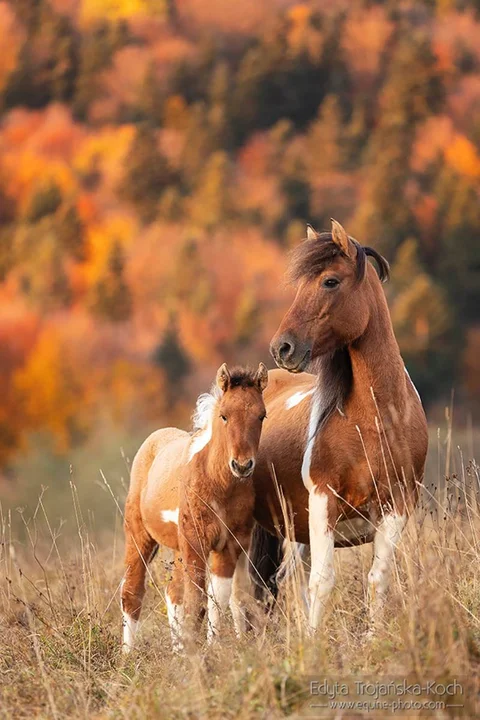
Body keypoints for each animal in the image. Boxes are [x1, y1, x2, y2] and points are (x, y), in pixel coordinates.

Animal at [122, 362, 268, 648]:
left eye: (262, 416)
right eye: (224, 416)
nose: (242, 465)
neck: (219, 484)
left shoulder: (230, 544)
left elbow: (217, 596)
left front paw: (213, 646)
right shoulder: (196, 542)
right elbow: (197, 597)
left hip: (179, 548)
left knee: (173, 593)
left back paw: (179, 648)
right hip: (139, 537)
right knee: (132, 592)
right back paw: (128, 653)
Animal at [248, 219, 428, 632]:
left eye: (330, 281)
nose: (282, 348)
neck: (377, 420)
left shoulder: (398, 505)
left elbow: (378, 578)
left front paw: (373, 638)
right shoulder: (323, 500)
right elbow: (323, 581)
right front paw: (313, 641)